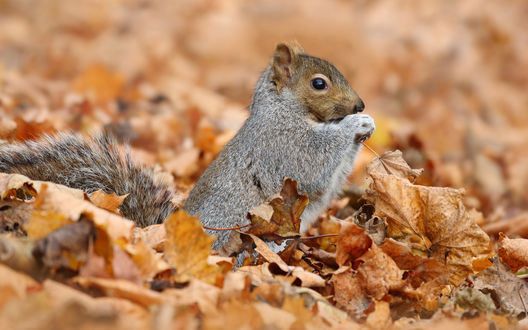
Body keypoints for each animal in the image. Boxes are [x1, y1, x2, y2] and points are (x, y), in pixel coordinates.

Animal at [0, 42, 376, 251]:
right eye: (318, 84)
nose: (359, 104)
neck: (283, 109)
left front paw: (366, 125)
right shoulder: (282, 143)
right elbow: (313, 160)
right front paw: (354, 125)